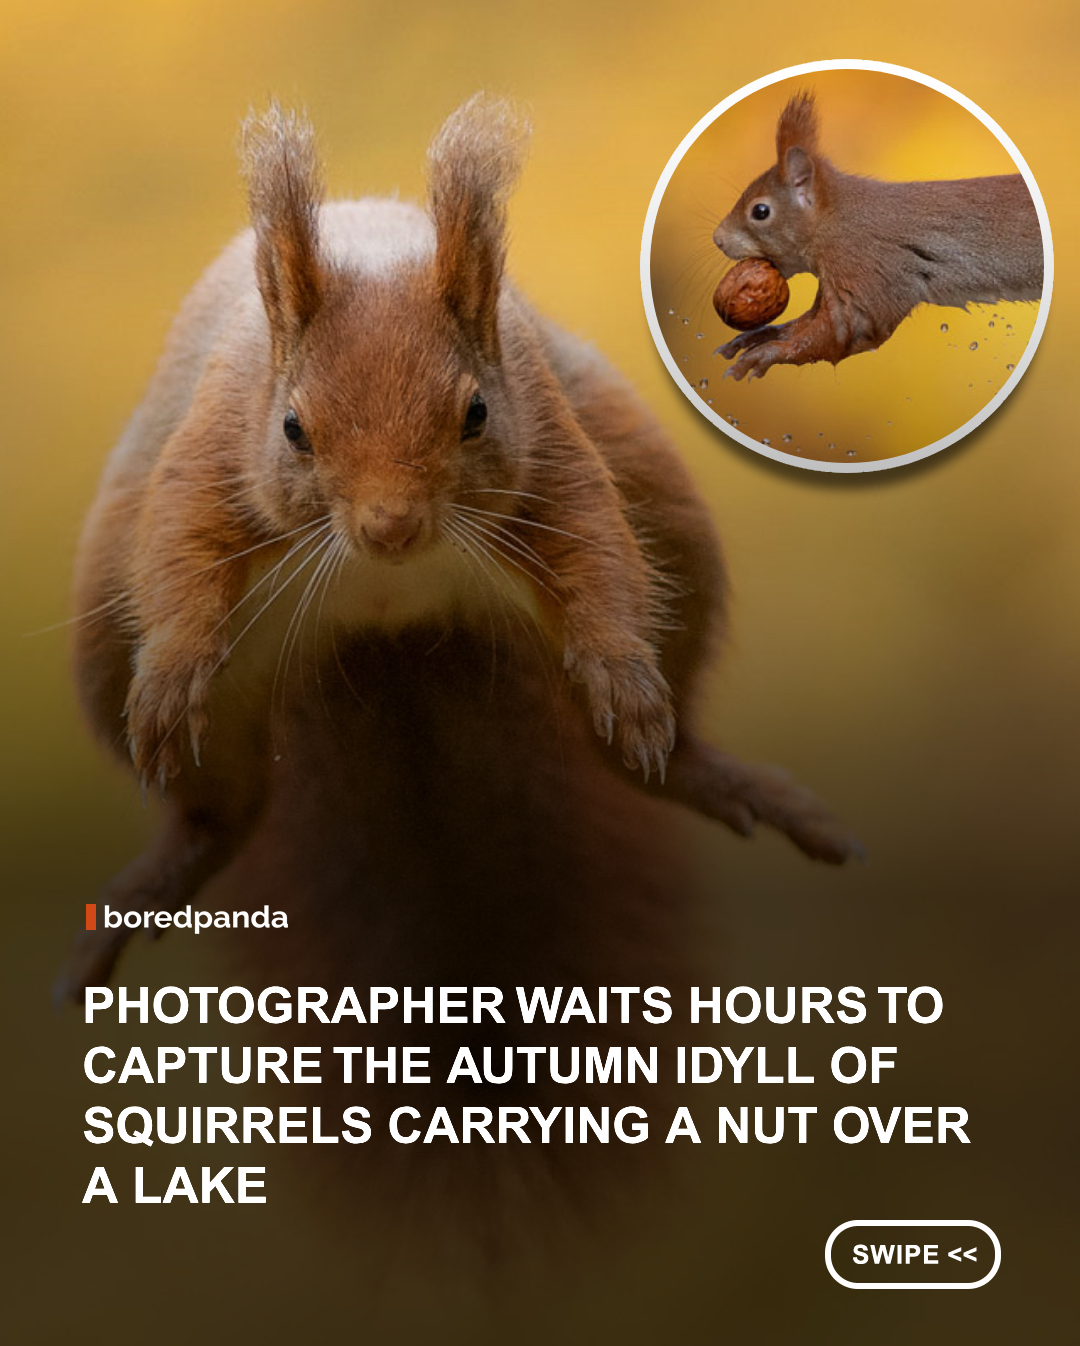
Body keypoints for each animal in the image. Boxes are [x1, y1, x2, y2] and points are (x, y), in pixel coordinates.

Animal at [56, 96, 861, 1002]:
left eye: (475, 413)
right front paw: (170, 675)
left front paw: (624, 677)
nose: (391, 528)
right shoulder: (213, 444)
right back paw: (155, 883)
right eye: (293, 428)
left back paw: (707, 770)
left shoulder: (546, 434)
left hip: (678, 546)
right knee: (220, 816)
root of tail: (387, 640)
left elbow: (600, 555)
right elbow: (179, 554)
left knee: (642, 749)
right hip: (113, 658)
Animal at [713, 91, 1043, 380]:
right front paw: (761, 336)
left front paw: (768, 354)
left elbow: (846, 332)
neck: (836, 221)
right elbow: (805, 324)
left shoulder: (866, 271)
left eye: (760, 212)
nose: (718, 239)